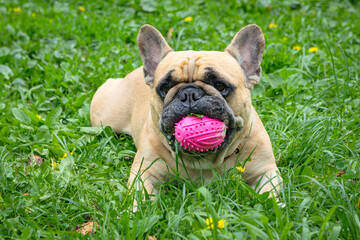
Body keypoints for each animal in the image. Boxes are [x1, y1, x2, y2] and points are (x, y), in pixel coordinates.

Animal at [90, 23, 282, 201]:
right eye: (165, 88)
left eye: (220, 86)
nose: (189, 94)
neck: (204, 161)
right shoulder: (144, 173)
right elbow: (141, 198)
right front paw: (137, 211)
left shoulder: (266, 171)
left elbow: (269, 196)